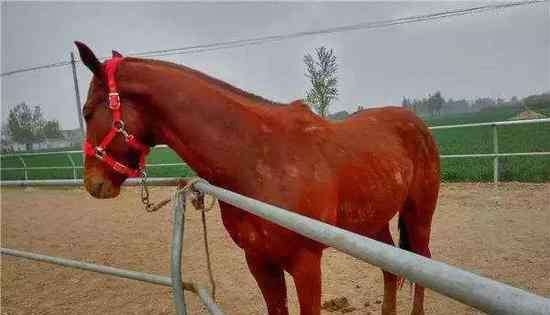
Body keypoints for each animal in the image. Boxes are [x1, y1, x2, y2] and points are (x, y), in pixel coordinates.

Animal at [76, 42, 440, 315]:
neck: (257, 158)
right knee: (391, 268)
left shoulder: (307, 265)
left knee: (422, 262)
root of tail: (415, 123)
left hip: (419, 214)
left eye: (87, 111)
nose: (94, 184)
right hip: (373, 222)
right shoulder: (259, 262)